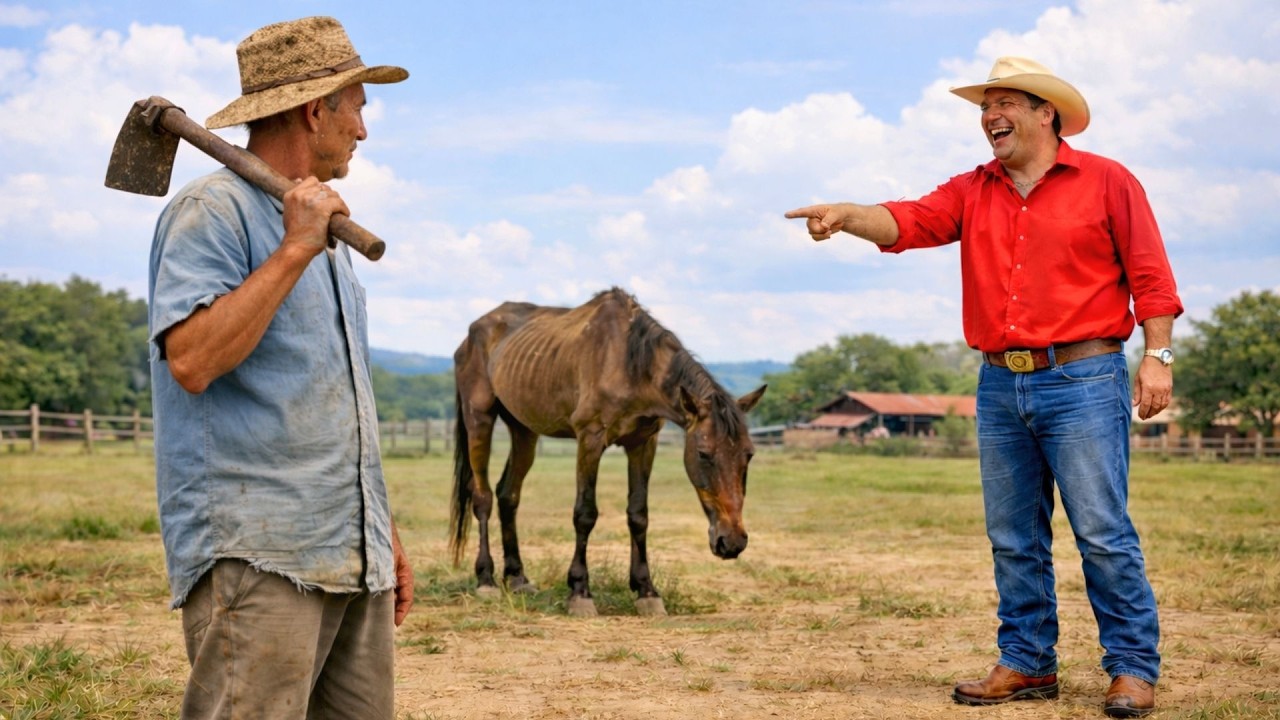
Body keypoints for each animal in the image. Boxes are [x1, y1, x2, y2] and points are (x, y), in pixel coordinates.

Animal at [449, 287, 766, 616]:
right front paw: (579, 592)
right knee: (482, 497)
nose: (732, 542)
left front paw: (646, 590)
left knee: (508, 495)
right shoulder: (590, 439)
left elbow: (638, 515)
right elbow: (585, 514)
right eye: (703, 454)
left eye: (749, 454)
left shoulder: (643, 443)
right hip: (480, 420)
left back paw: (517, 578)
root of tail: (472, 332)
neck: (630, 364)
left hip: (524, 430)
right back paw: (486, 579)